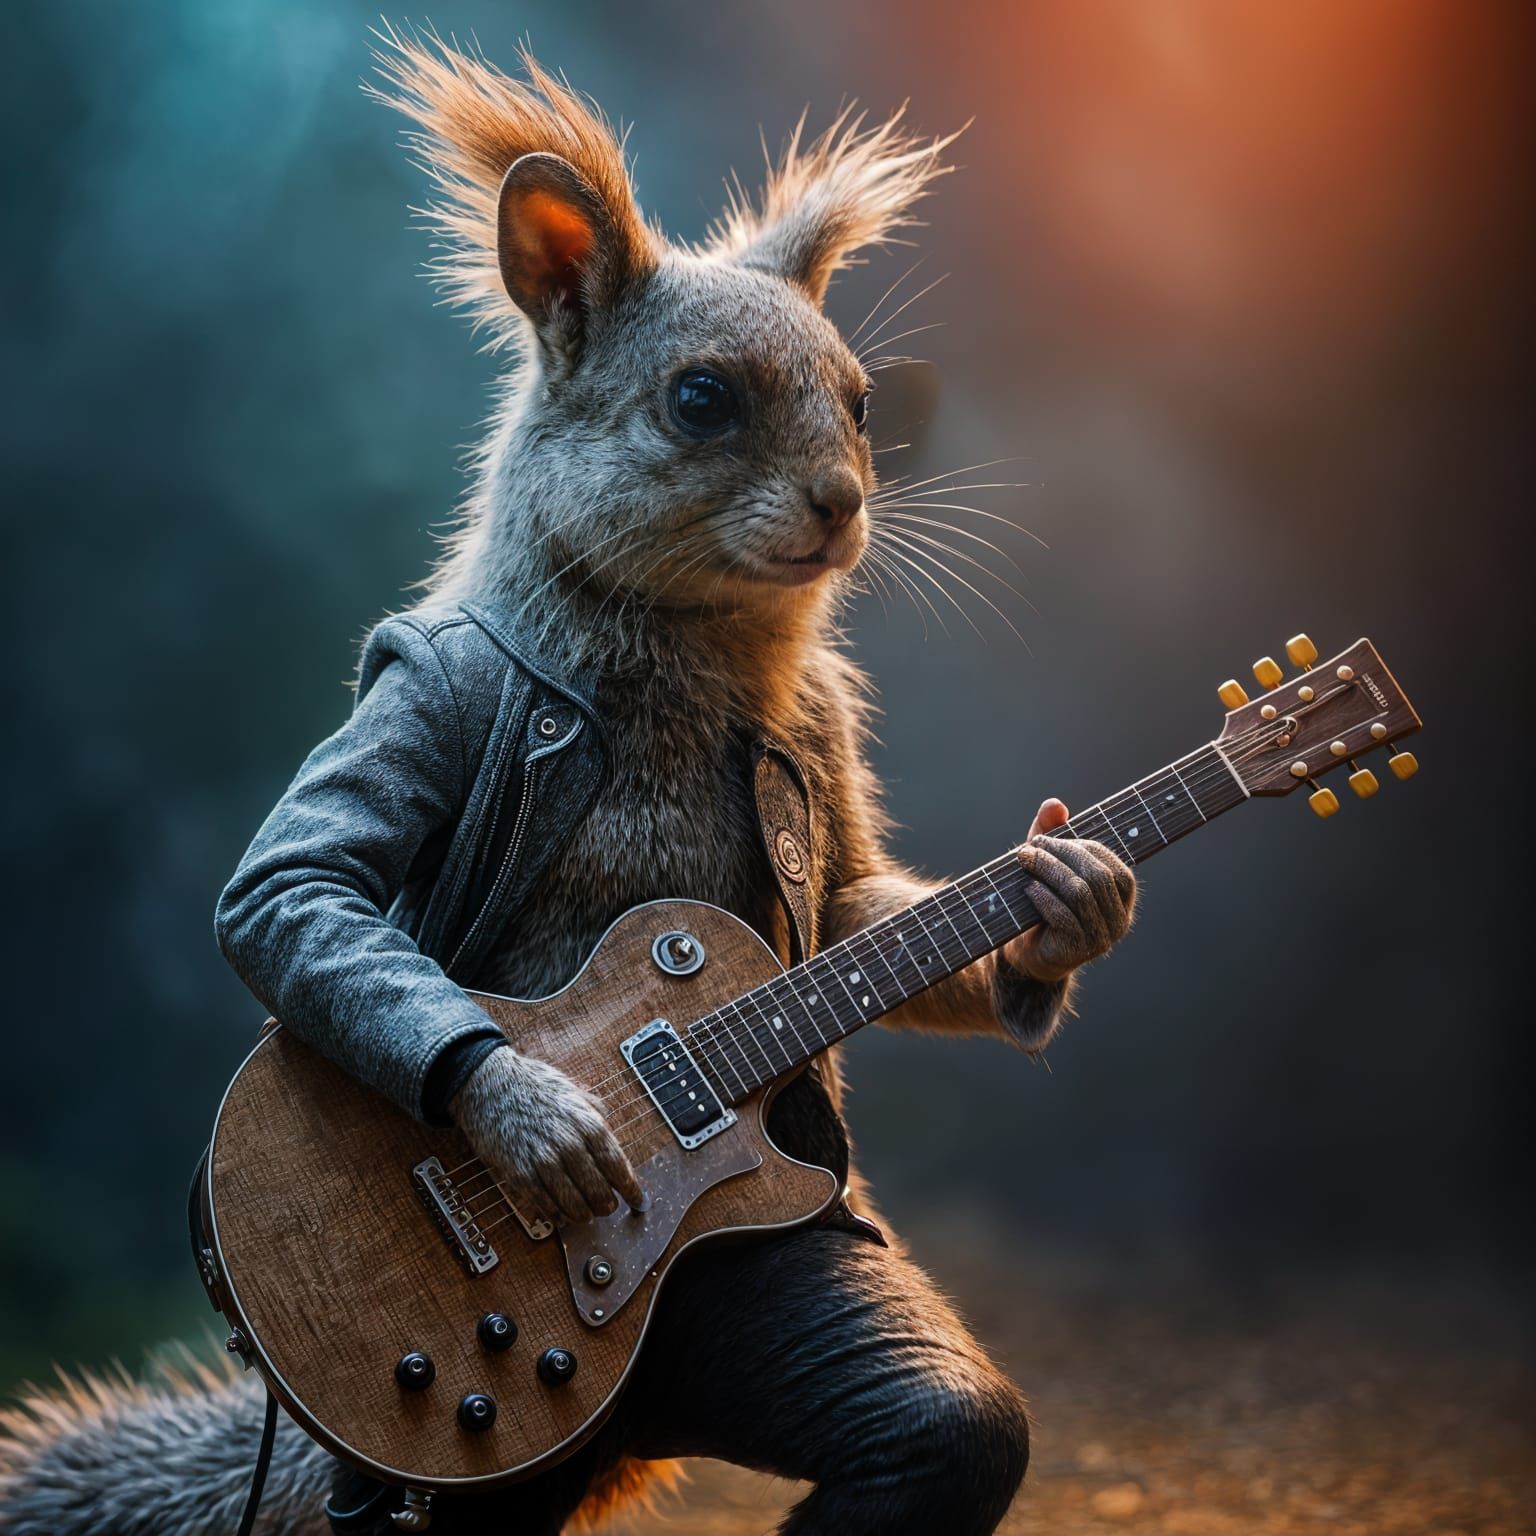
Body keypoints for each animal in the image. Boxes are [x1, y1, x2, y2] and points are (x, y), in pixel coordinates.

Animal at [0, 29, 1134, 1536]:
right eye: (700, 399)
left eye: (863, 402)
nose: (845, 505)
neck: (692, 648)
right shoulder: (419, 693)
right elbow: (288, 882)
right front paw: (542, 1123)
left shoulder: (822, 758)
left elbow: (845, 909)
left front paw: (1064, 903)